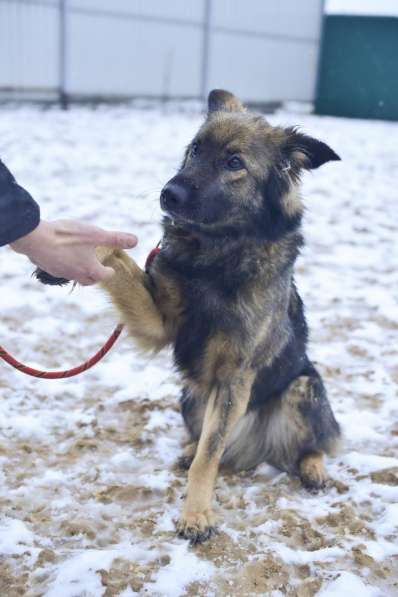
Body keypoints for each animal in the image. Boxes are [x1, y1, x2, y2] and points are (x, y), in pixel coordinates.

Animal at [38, 89, 342, 544]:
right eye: (196, 150)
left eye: (234, 162)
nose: (169, 193)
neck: (214, 255)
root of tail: (254, 450)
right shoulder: (160, 323)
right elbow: (116, 253)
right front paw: (66, 257)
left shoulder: (234, 376)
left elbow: (209, 455)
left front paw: (196, 514)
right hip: (191, 395)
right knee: (203, 440)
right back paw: (186, 449)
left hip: (303, 387)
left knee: (310, 443)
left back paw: (313, 468)